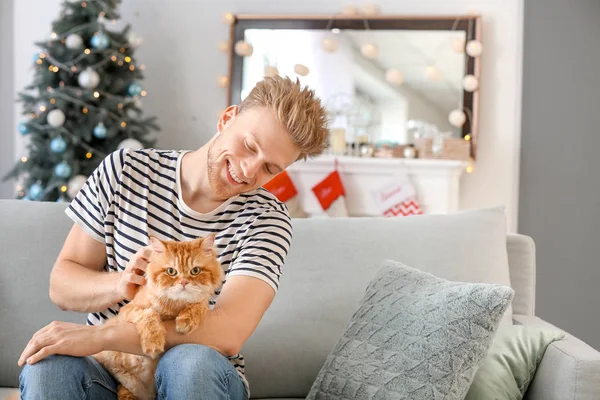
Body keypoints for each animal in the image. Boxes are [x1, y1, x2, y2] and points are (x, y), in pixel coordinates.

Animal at [92, 234, 224, 400]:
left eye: (195, 270)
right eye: (171, 271)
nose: (183, 282)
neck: (176, 305)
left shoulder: (202, 302)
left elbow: (198, 306)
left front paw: (185, 321)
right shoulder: (129, 310)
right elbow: (150, 314)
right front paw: (153, 343)